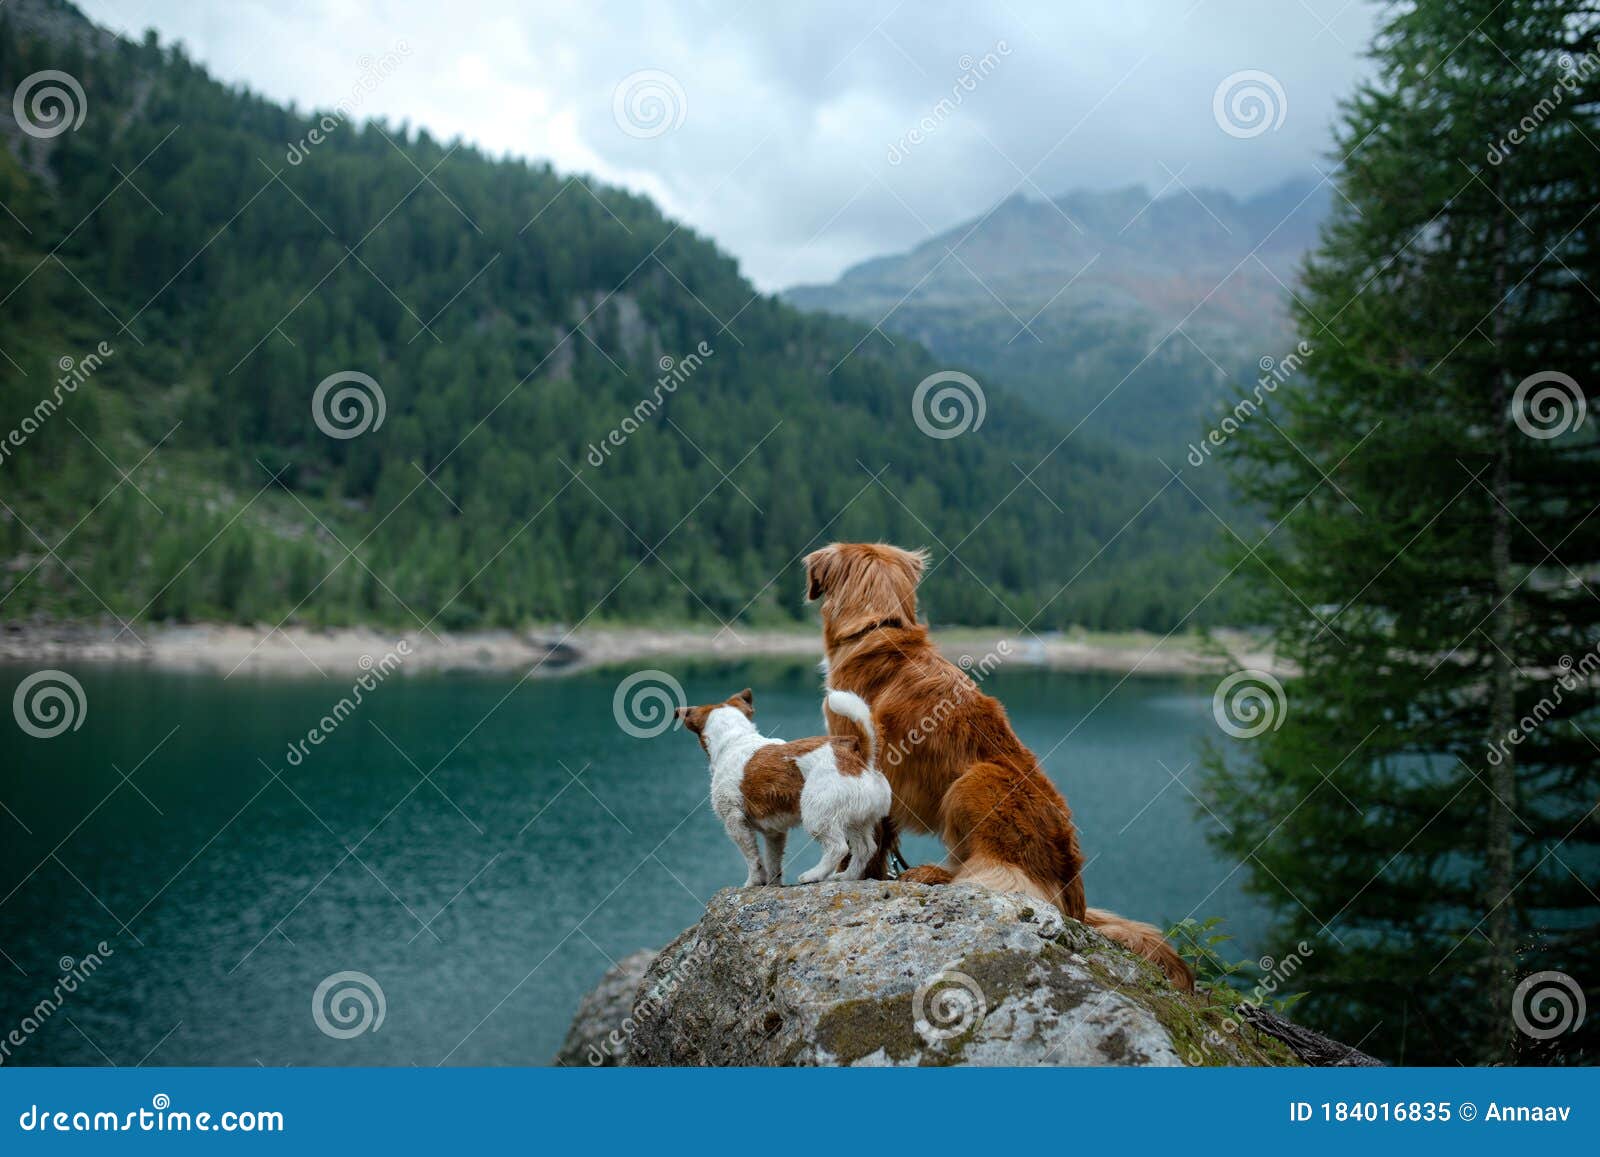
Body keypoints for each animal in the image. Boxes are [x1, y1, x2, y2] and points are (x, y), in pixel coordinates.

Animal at [675, 688, 896, 889]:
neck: (735, 739)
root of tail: (859, 758)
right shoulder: (774, 832)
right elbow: (773, 860)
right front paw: (773, 884)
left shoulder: (734, 821)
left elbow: (753, 858)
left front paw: (752, 882)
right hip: (856, 820)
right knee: (865, 849)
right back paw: (846, 876)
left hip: (818, 815)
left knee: (838, 848)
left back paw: (813, 875)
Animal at [812, 540, 1190, 985]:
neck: (880, 629)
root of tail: (1075, 897)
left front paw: (850, 872)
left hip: (976, 780)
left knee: (995, 878)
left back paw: (933, 874)